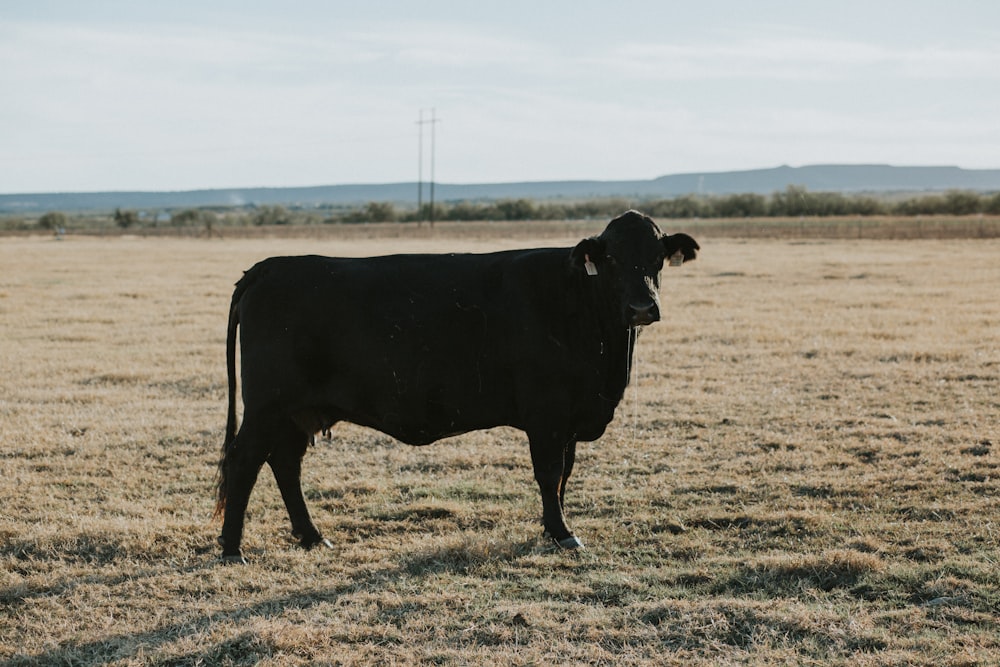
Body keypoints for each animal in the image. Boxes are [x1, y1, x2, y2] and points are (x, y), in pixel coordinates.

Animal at [213, 210, 696, 564]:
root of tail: (267, 268)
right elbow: (550, 473)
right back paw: (232, 549)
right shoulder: (547, 414)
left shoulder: (570, 417)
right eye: (611, 259)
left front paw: (552, 529)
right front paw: (563, 533)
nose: (642, 307)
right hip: (267, 407)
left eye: (657, 256)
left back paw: (312, 537)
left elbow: (564, 475)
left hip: (296, 413)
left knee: (284, 464)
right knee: (244, 462)